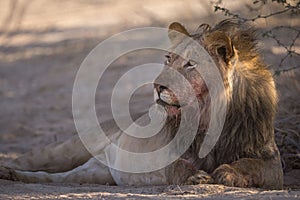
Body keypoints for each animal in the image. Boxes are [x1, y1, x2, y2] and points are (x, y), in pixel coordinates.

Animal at [0, 19, 284, 190]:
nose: (157, 87)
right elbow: (175, 165)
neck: (210, 113)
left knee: (54, 177)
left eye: (190, 64)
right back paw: (8, 171)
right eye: (168, 58)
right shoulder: (163, 150)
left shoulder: (271, 161)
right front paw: (194, 176)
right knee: (34, 161)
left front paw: (226, 173)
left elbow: (250, 165)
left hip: (92, 174)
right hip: (69, 147)